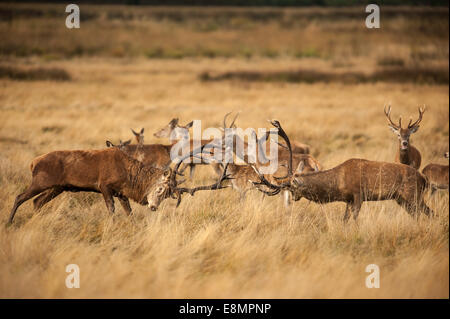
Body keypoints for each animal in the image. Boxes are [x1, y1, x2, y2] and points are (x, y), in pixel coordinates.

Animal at [251, 120, 434, 222]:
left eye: (291, 186)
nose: (294, 198)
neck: (339, 182)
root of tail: (423, 178)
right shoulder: (348, 200)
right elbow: (344, 220)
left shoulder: (358, 195)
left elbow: (354, 220)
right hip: (402, 199)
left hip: (413, 195)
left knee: (429, 212)